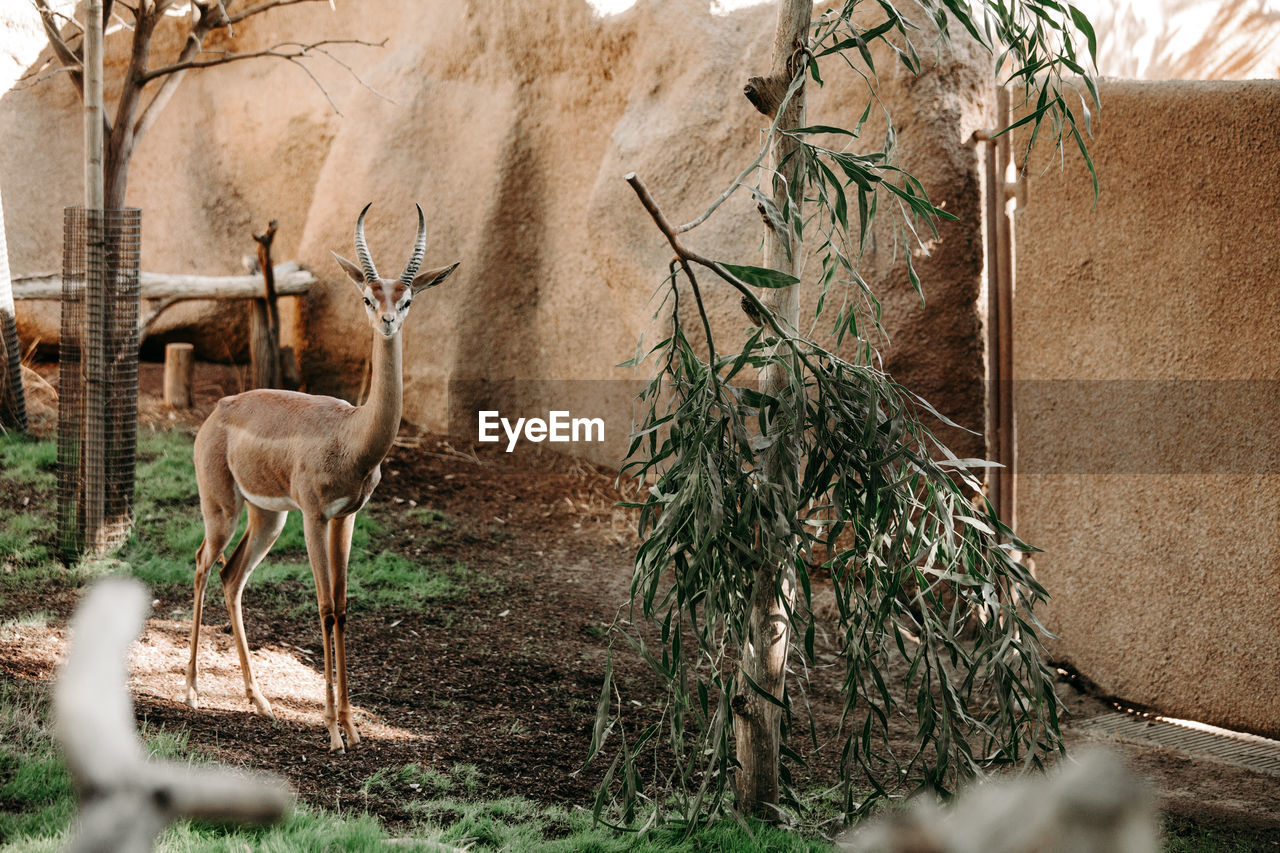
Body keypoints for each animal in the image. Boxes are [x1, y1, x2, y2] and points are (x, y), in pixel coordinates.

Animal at [185, 206, 455, 753]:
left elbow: (344, 607)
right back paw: (193, 692)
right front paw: (332, 730)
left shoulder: (345, 518)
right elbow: (325, 605)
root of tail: (221, 408)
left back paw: (260, 702)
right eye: (368, 297)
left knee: (231, 577)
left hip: (267, 519)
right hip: (222, 509)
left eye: (407, 298)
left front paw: (352, 726)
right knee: (203, 563)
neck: (351, 435)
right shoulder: (313, 515)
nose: (387, 322)